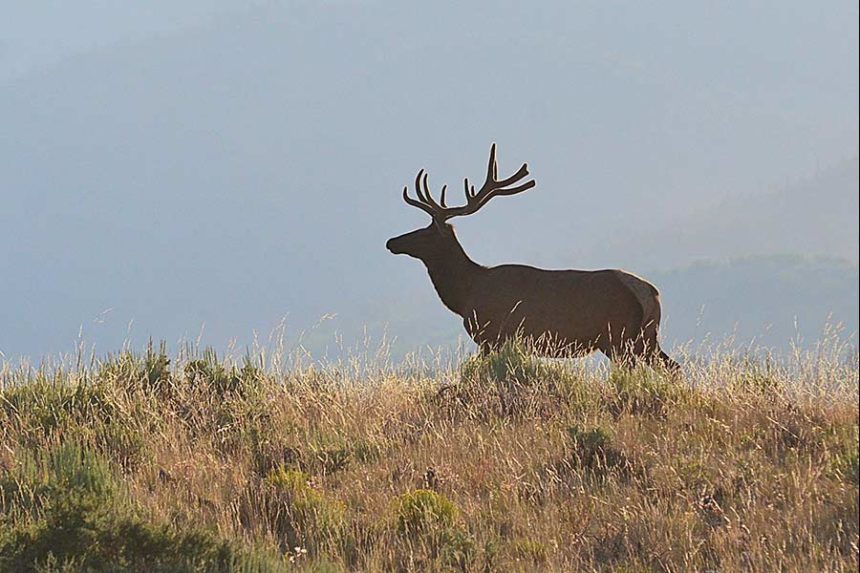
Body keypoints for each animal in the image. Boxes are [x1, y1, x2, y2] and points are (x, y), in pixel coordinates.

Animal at [386, 144, 680, 372]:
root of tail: (650, 293)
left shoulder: (494, 336)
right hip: (646, 337)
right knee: (673, 367)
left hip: (619, 337)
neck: (466, 294)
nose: (391, 242)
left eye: (425, 232)